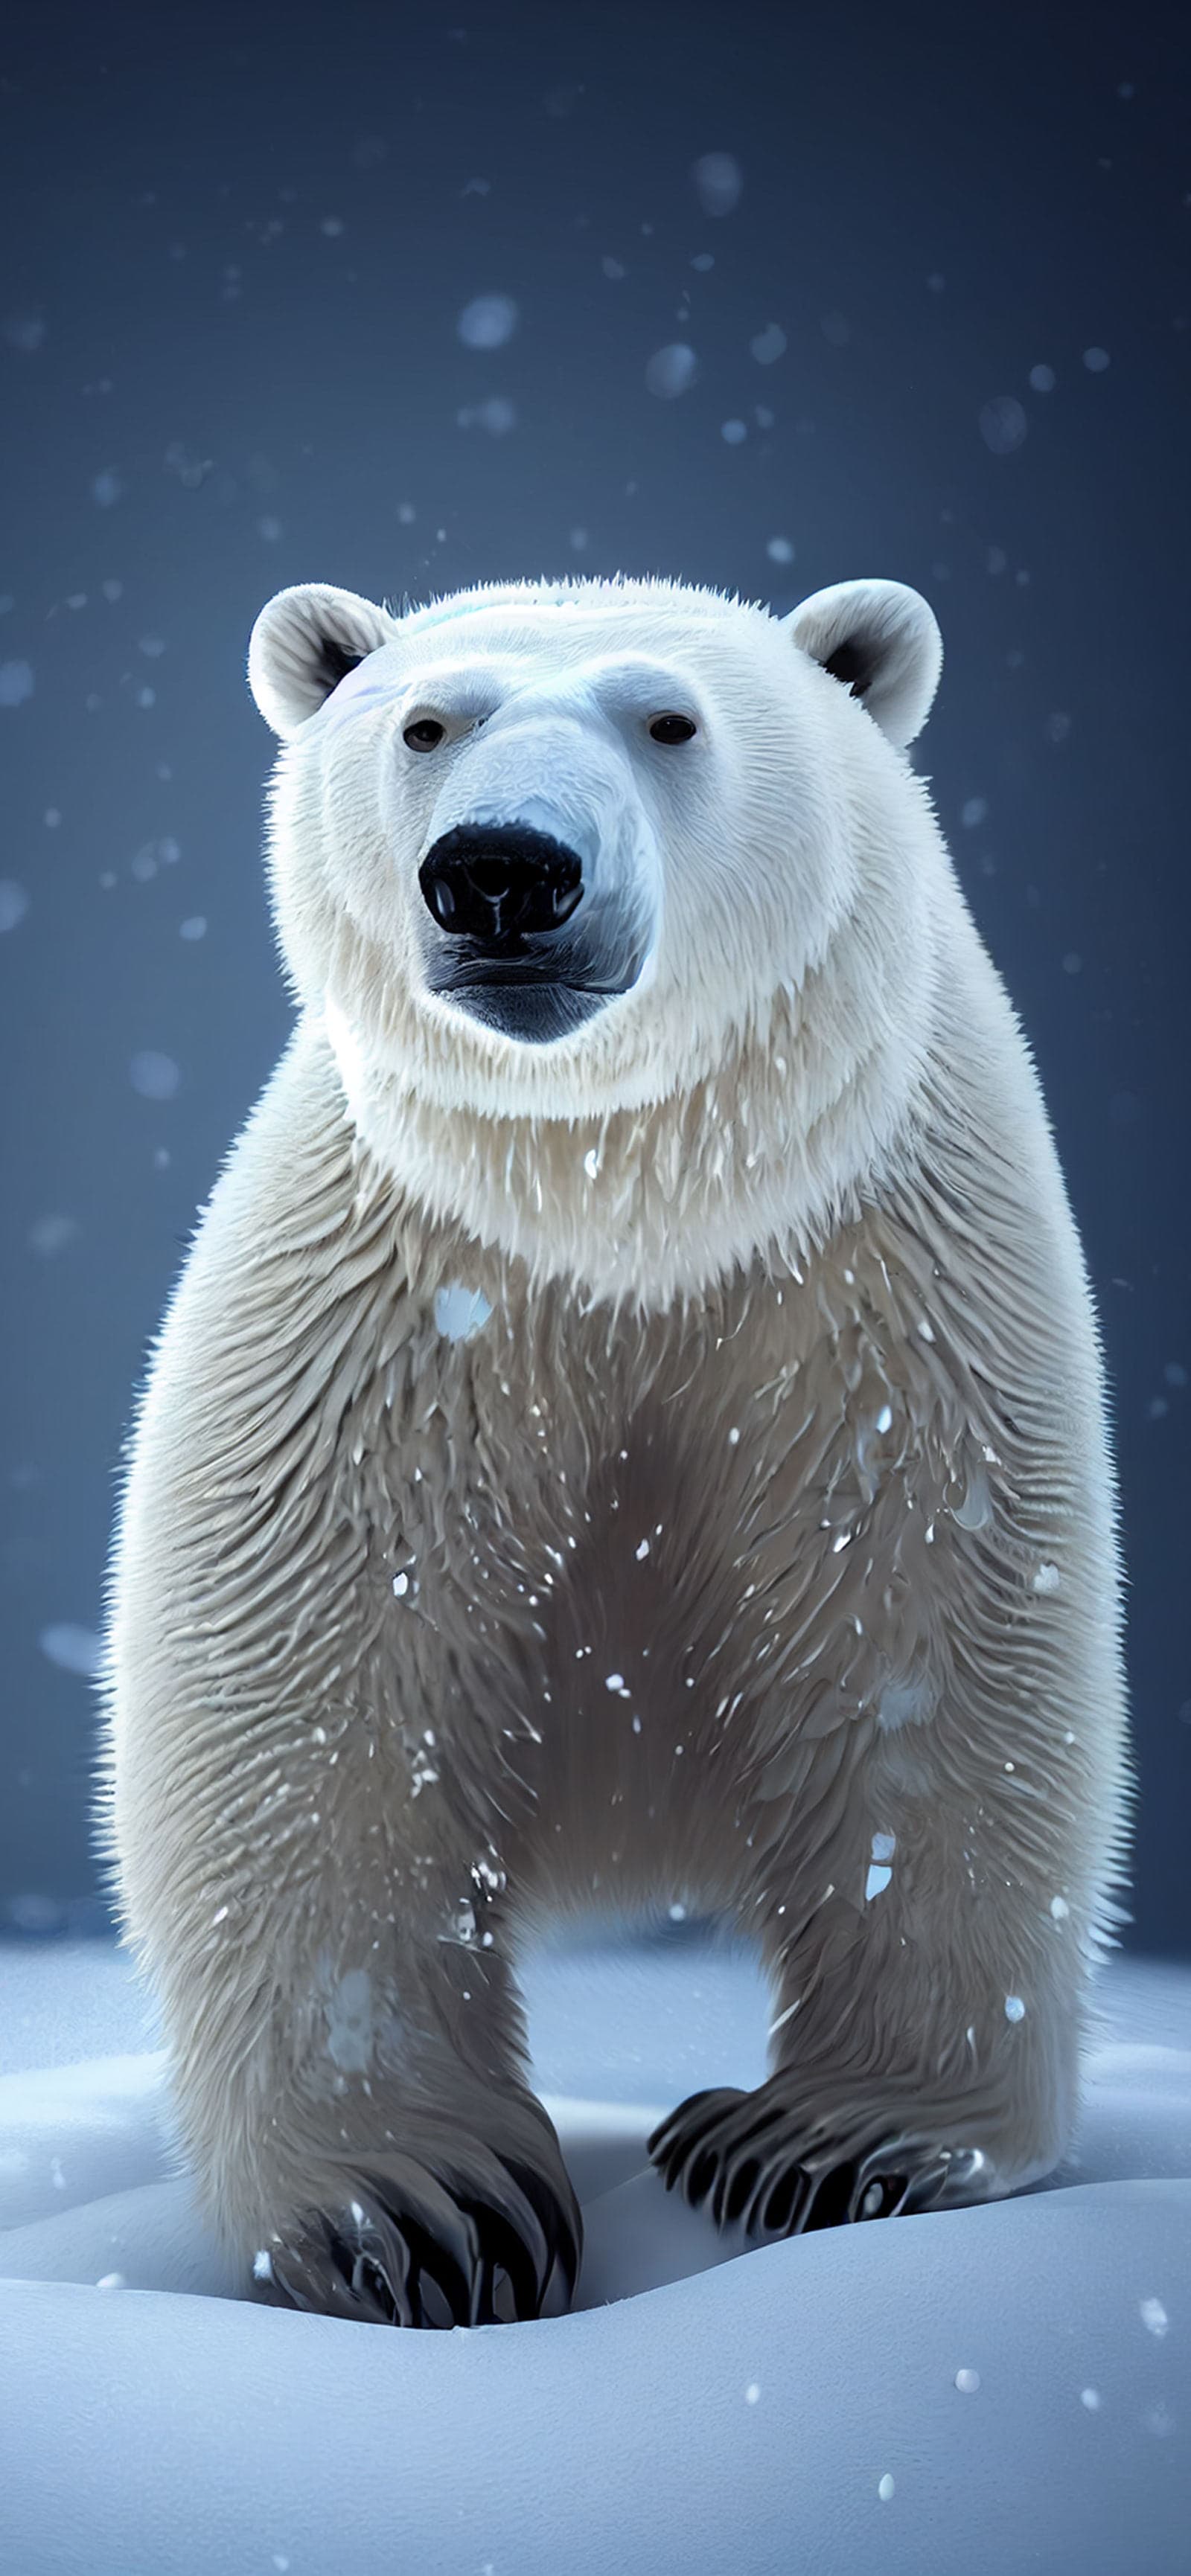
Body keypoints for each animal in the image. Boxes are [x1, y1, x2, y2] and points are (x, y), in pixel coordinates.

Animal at [98, 569, 1131, 2330]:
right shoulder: (392, 1302)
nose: (502, 870)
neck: (629, 1196)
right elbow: (314, 1688)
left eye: (670, 719)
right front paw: (423, 2211)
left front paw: (835, 2143)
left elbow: (928, 1646)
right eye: (424, 722)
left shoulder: (874, 1288)